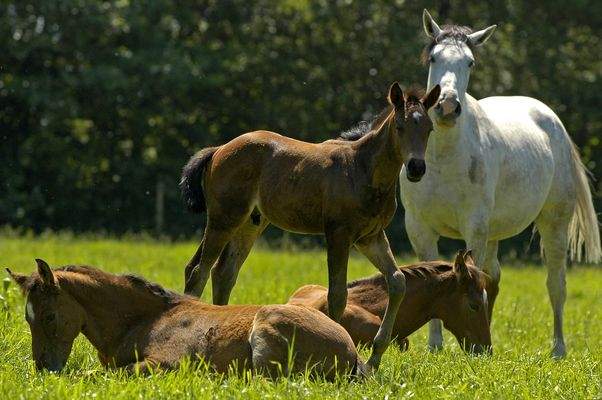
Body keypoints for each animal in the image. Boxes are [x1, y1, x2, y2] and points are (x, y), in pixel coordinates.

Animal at [7, 260, 360, 378]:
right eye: (27, 319)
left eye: (49, 315)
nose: (44, 368)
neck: (143, 320)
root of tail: (351, 351)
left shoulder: (165, 364)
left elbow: (102, 375)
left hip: (265, 330)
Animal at [398, 10, 600, 360]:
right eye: (434, 57)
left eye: (469, 62)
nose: (447, 106)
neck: (442, 158)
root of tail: (552, 120)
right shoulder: (419, 227)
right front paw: (436, 346)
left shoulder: (474, 227)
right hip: (493, 232)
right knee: (493, 278)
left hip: (553, 224)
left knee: (556, 285)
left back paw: (558, 349)